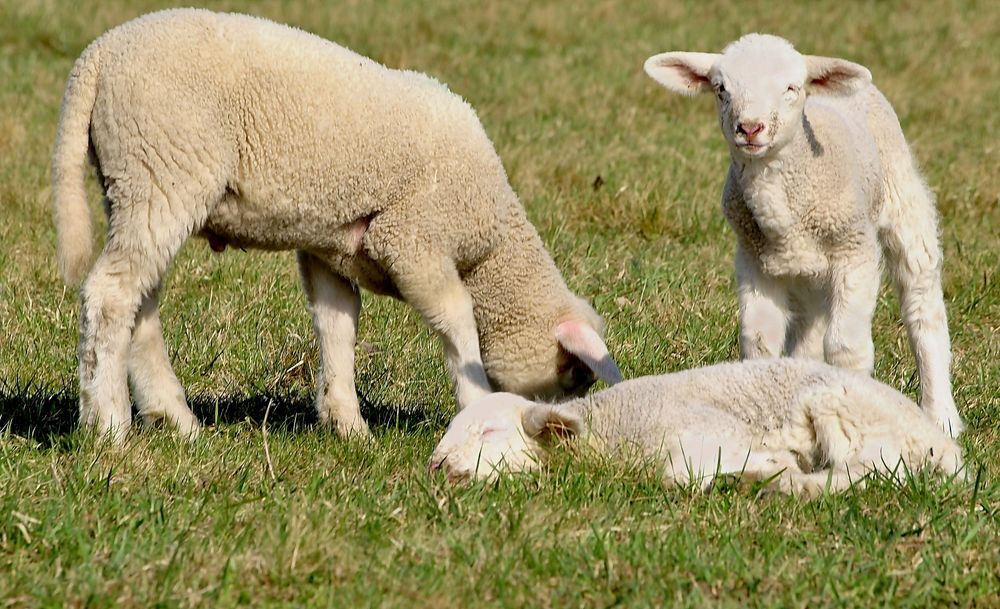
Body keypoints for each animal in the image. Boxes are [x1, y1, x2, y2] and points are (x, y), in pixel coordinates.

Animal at [52, 9, 624, 442]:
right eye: (574, 376)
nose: (551, 425)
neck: (492, 247)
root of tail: (96, 57)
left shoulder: (331, 250)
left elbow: (337, 326)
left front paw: (347, 424)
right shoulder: (413, 240)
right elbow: (458, 320)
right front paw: (475, 401)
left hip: (133, 187)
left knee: (140, 301)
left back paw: (175, 419)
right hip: (160, 171)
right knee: (111, 296)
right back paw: (108, 426)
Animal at [428, 358, 960, 496]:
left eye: (489, 433)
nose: (437, 465)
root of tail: (942, 445)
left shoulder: (711, 434)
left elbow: (680, 476)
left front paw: (773, 471)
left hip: (844, 411)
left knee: (873, 471)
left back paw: (790, 487)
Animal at [640, 33, 960, 434]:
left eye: (790, 88)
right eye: (721, 89)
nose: (750, 128)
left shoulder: (856, 251)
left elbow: (846, 348)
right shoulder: (754, 261)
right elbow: (759, 343)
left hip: (903, 201)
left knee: (922, 305)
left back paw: (941, 415)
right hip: (807, 273)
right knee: (809, 327)